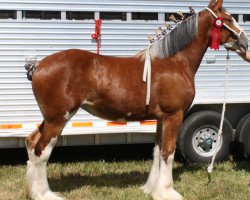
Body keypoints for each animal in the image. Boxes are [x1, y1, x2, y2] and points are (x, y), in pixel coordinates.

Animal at [24, 0, 247, 200]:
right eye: (228, 19)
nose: (245, 42)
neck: (174, 62)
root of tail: (38, 65)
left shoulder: (160, 118)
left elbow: (157, 151)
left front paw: (152, 189)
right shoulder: (174, 116)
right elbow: (168, 152)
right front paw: (167, 192)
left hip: (50, 118)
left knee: (32, 143)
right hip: (58, 119)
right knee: (41, 151)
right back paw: (44, 195)